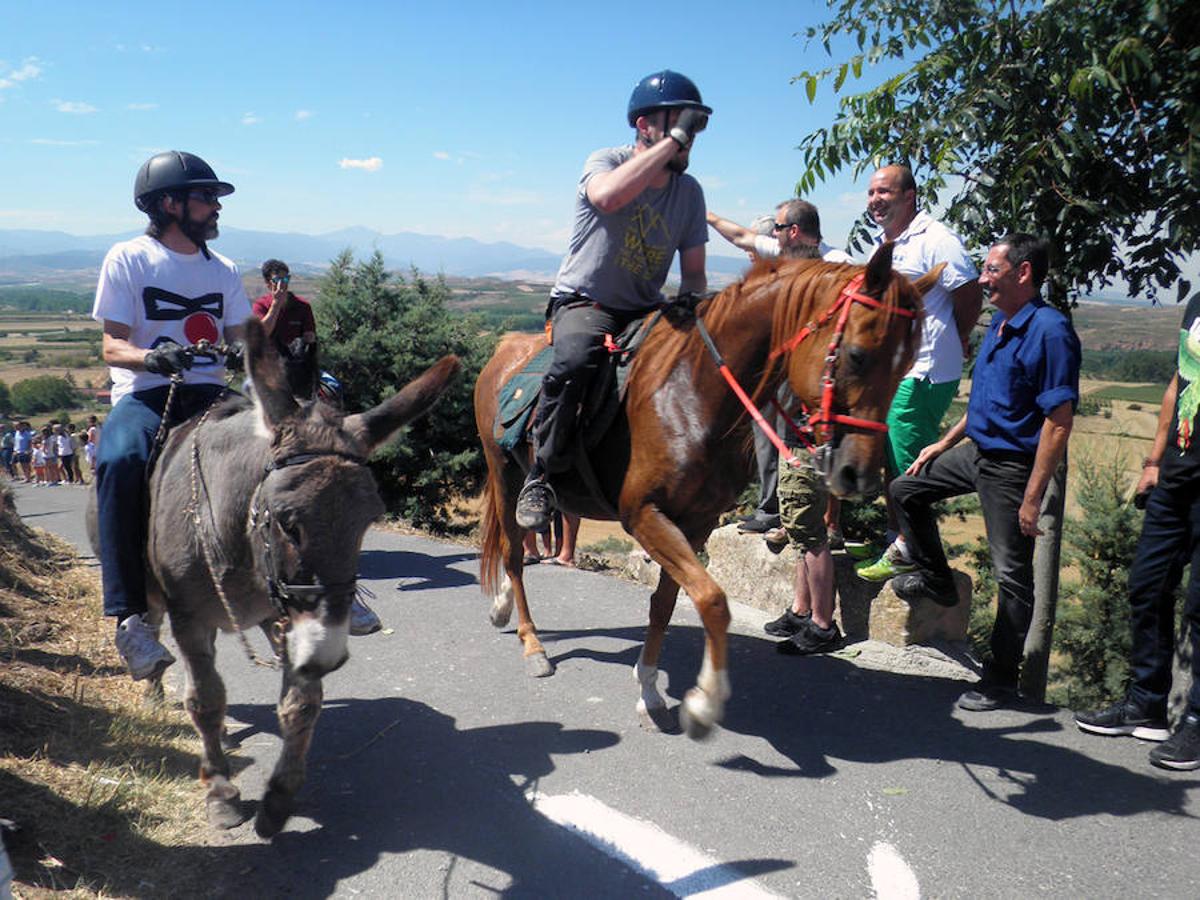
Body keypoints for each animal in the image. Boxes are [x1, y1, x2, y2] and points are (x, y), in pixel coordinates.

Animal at [475, 244, 936, 739]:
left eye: (907, 366)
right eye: (856, 355)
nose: (859, 475)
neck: (692, 393)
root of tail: (505, 348)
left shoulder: (694, 522)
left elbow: (666, 602)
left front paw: (649, 690)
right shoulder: (644, 514)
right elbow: (713, 601)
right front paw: (704, 702)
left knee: (517, 542)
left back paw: (502, 608)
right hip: (505, 473)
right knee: (514, 553)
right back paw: (532, 644)